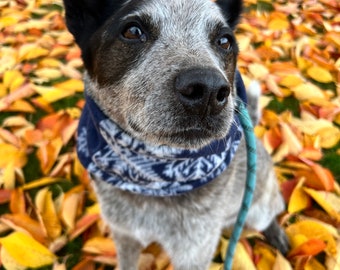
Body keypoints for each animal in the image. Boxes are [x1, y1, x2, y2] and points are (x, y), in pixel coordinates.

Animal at [62, 0, 288, 268]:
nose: (208, 90)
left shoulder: (194, 253)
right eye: (133, 31)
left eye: (224, 41)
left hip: (257, 208)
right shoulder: (124, 235)